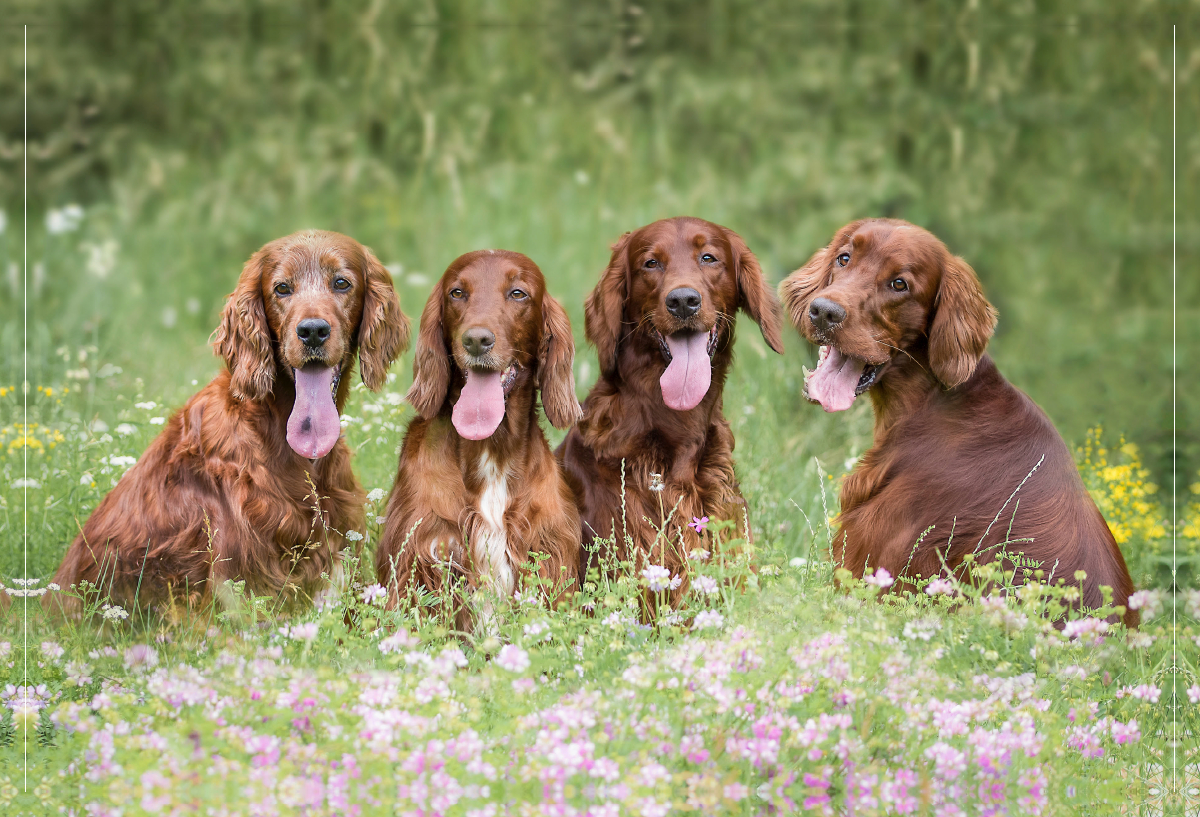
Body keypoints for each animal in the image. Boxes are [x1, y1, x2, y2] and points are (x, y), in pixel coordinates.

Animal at [374, 247, 580, 623]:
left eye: (518, 293)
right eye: (457, 292)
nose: (476, 340)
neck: (491, 450)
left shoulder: (546, 550)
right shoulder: (426, 550)